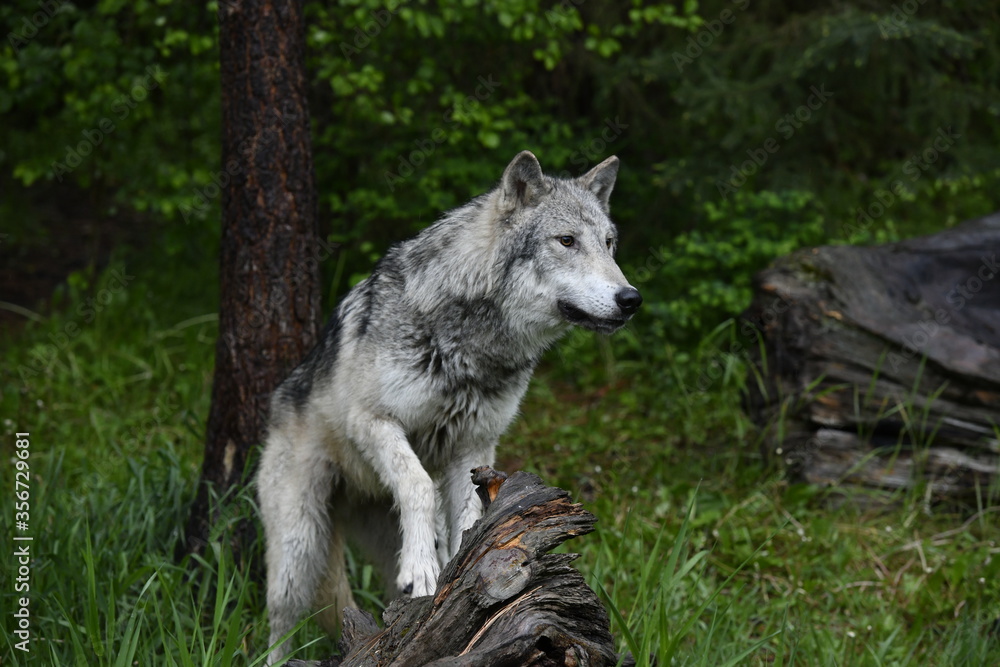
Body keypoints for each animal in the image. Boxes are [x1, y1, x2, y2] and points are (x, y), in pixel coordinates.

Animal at [257, 150, 641, 663]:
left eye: (609, 244)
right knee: (281, 623)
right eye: (566, 241)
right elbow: (417, 482)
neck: (471, 348)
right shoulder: (372, 421)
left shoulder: (474, 447)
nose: (631, 299)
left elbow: (471, 522)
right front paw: (423, 568)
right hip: (298, 551)